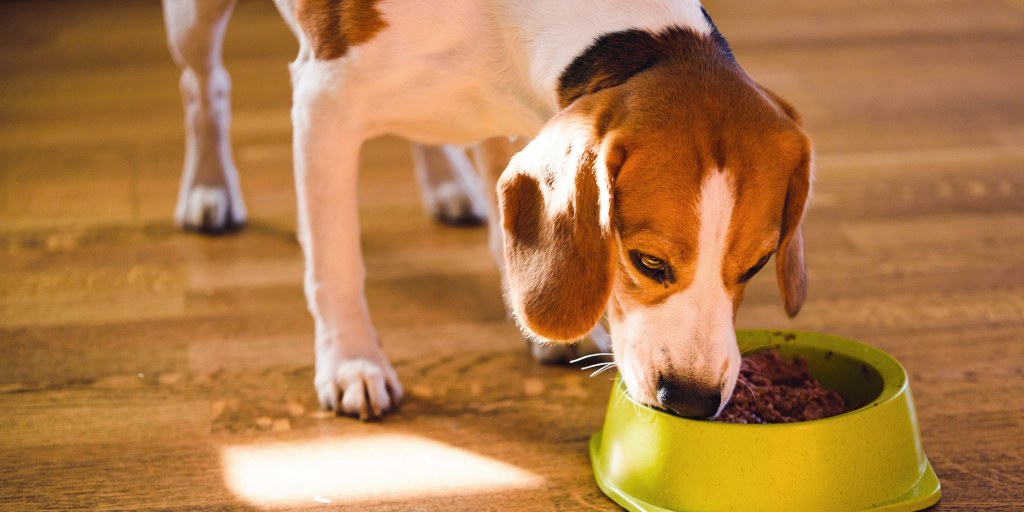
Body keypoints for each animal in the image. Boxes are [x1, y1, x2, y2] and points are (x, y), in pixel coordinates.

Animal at [161, 0, 806, 419]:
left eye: (755, 267)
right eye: (647, 261)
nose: (693, 402)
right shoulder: (324, 101)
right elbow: (335, 263)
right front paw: (351, 362)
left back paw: (448, 183)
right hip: (193, 21)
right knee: (203, 86)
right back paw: (209, 189)